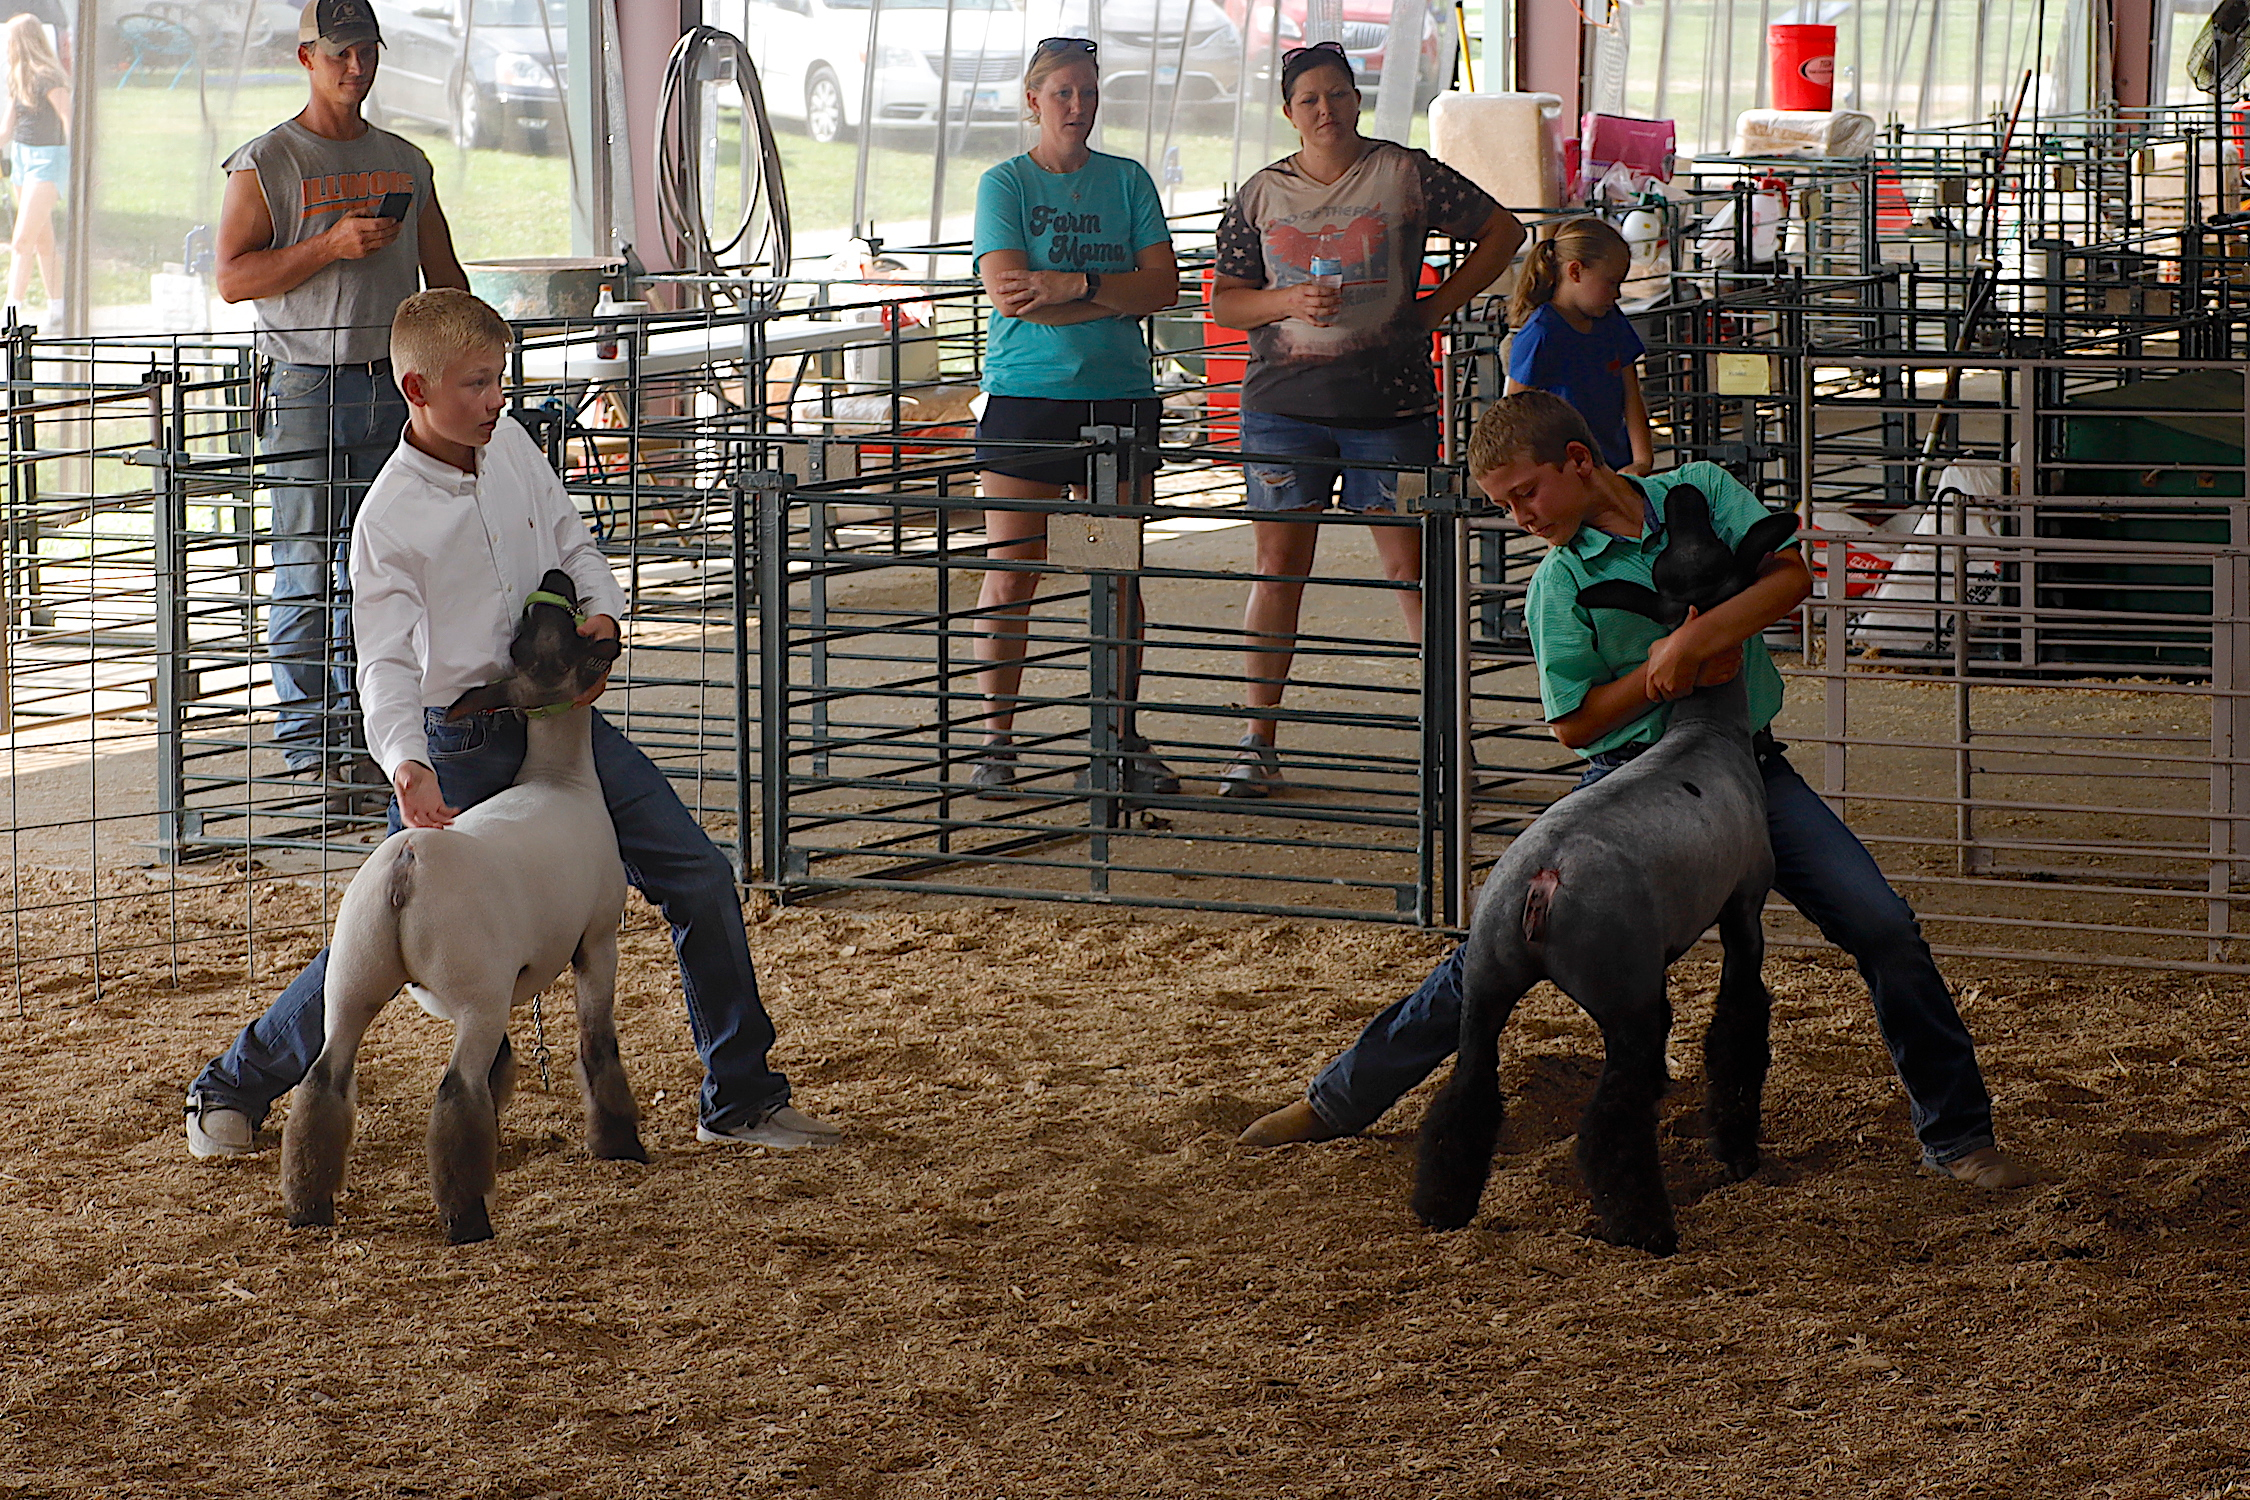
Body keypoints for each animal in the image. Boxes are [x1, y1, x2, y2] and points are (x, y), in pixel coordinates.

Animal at [280, 571, 639, 1244]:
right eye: (563, 639)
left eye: (529, 635)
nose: (555, 577)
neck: (560, 778)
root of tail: (408, 863)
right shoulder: (597, 939)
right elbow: (596, 1043)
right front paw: (618, 1143)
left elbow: (504, 1068)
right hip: (478, 992)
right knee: (454, 1091)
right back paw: (467, 1218)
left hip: (354, 974)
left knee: (322, 1081)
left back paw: (308, 1206)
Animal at [1412, 489, 1799, 1255]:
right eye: (1714, 543)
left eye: (1681, 542)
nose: (1683, 493)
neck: (1704, 730)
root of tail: (1541, 885)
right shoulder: (1743, 905)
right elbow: (1738, 1023)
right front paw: (1738, 1153)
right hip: (1620, 988)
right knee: (1610, 1117)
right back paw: (1645, 1227)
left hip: (1487, 977)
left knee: (1468, 1088)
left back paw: (1442, 1208)